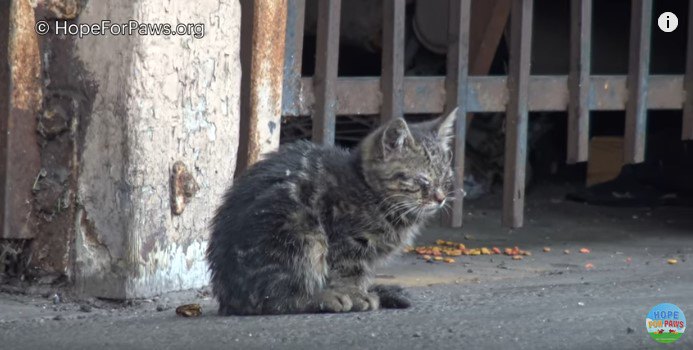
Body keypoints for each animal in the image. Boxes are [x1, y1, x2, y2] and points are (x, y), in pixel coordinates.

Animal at [209, 108, 460, 314]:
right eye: (422, 180)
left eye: (446, 179)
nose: (440, 198)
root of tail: (227, 297)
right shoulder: (346, 241)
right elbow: (348, 272)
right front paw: (356, 296)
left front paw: (364, 291)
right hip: (300, 232)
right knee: (273, 298)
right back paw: (324, 298)